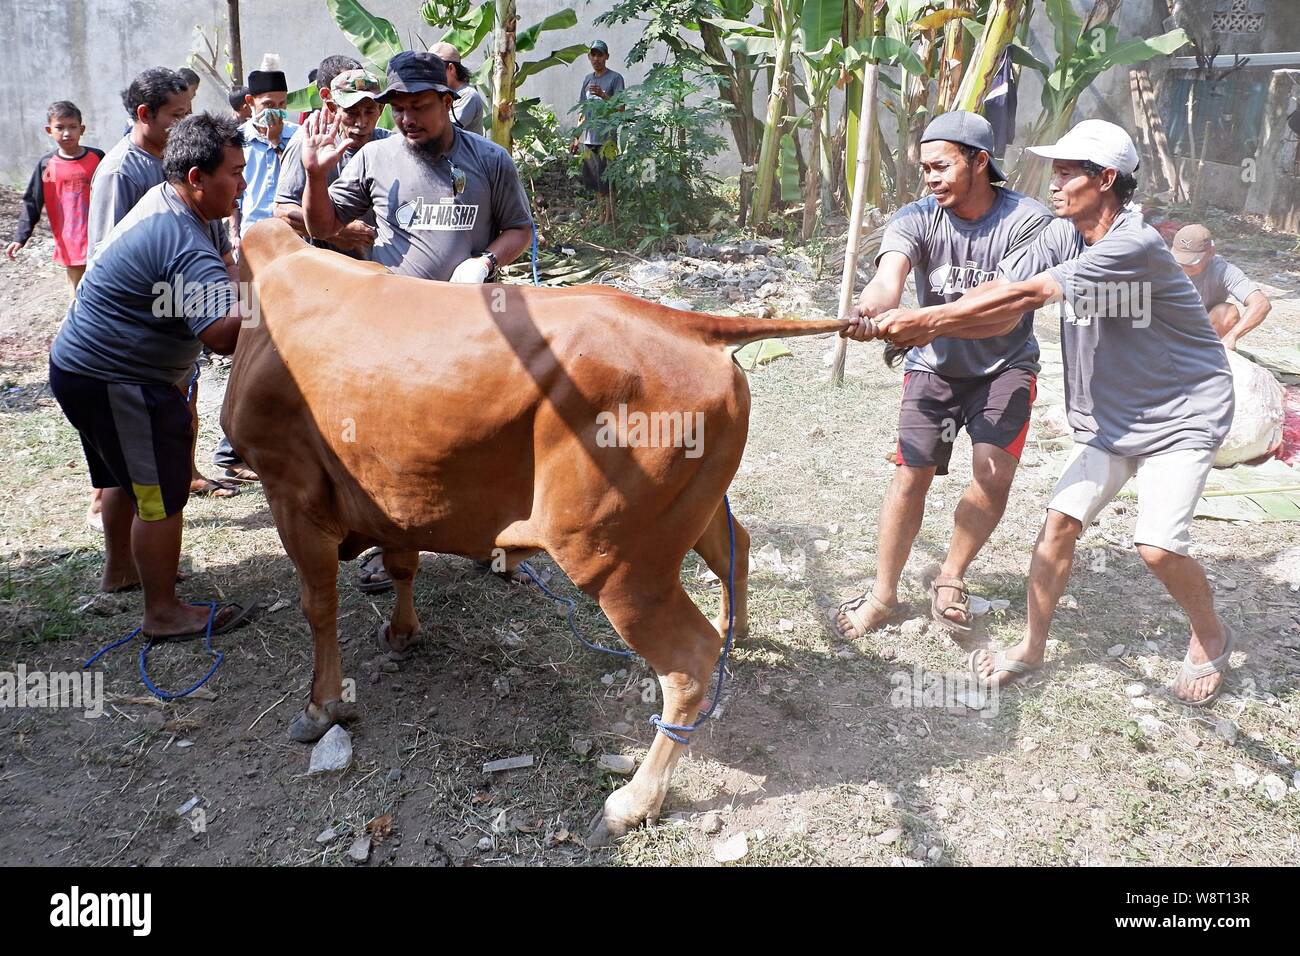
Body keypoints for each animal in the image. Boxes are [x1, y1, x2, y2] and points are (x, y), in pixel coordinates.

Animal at [223, 222, 847, 842]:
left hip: (616, 562)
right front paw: (402, 632)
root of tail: (688, 324)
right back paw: (732, 634)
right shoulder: (394, 494)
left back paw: (632, 803)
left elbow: (318, 604)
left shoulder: (292, 494)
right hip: (694, 513)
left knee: (687, 663)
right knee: (735, 557)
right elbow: (402, 564)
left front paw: (321, 707)